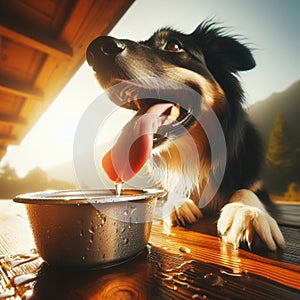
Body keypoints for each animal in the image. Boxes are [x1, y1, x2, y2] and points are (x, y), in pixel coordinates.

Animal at [86, 20, 286, 251]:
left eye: (174, 45)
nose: (96, 49)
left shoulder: (256, 183)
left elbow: (247, 190)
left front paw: (247, 214)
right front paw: (178, 202)